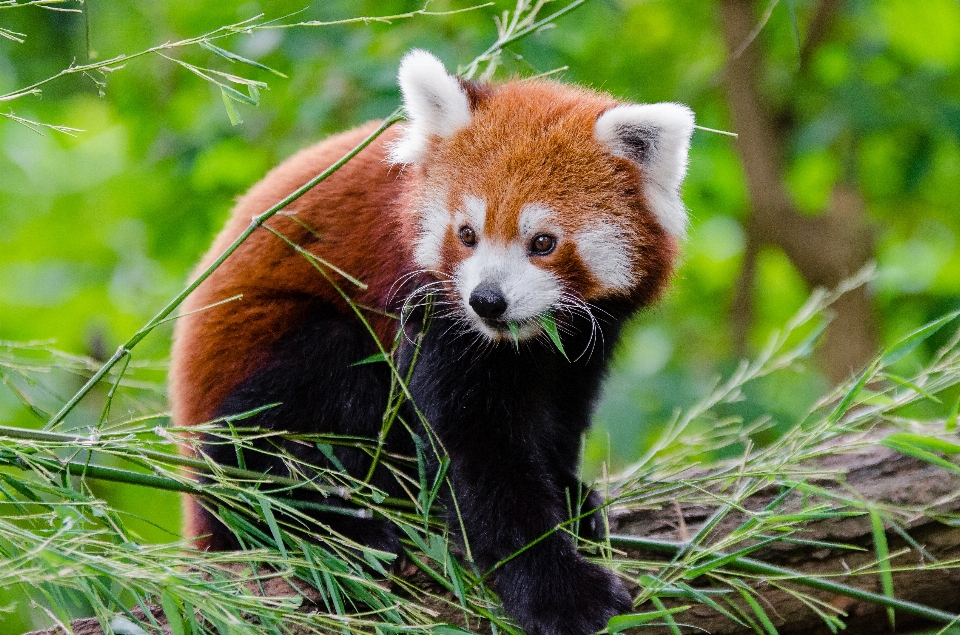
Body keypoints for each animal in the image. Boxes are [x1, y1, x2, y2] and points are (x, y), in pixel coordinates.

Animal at [172, 49, 692, 635]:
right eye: (466, 234)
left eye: (543, 243)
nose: (487, 301)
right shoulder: (432, 309)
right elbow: (473, 449)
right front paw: (557, 590)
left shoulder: (583, 337)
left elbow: (558, 410)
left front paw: (568, 493)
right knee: (284, 415)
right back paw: (336, 526)